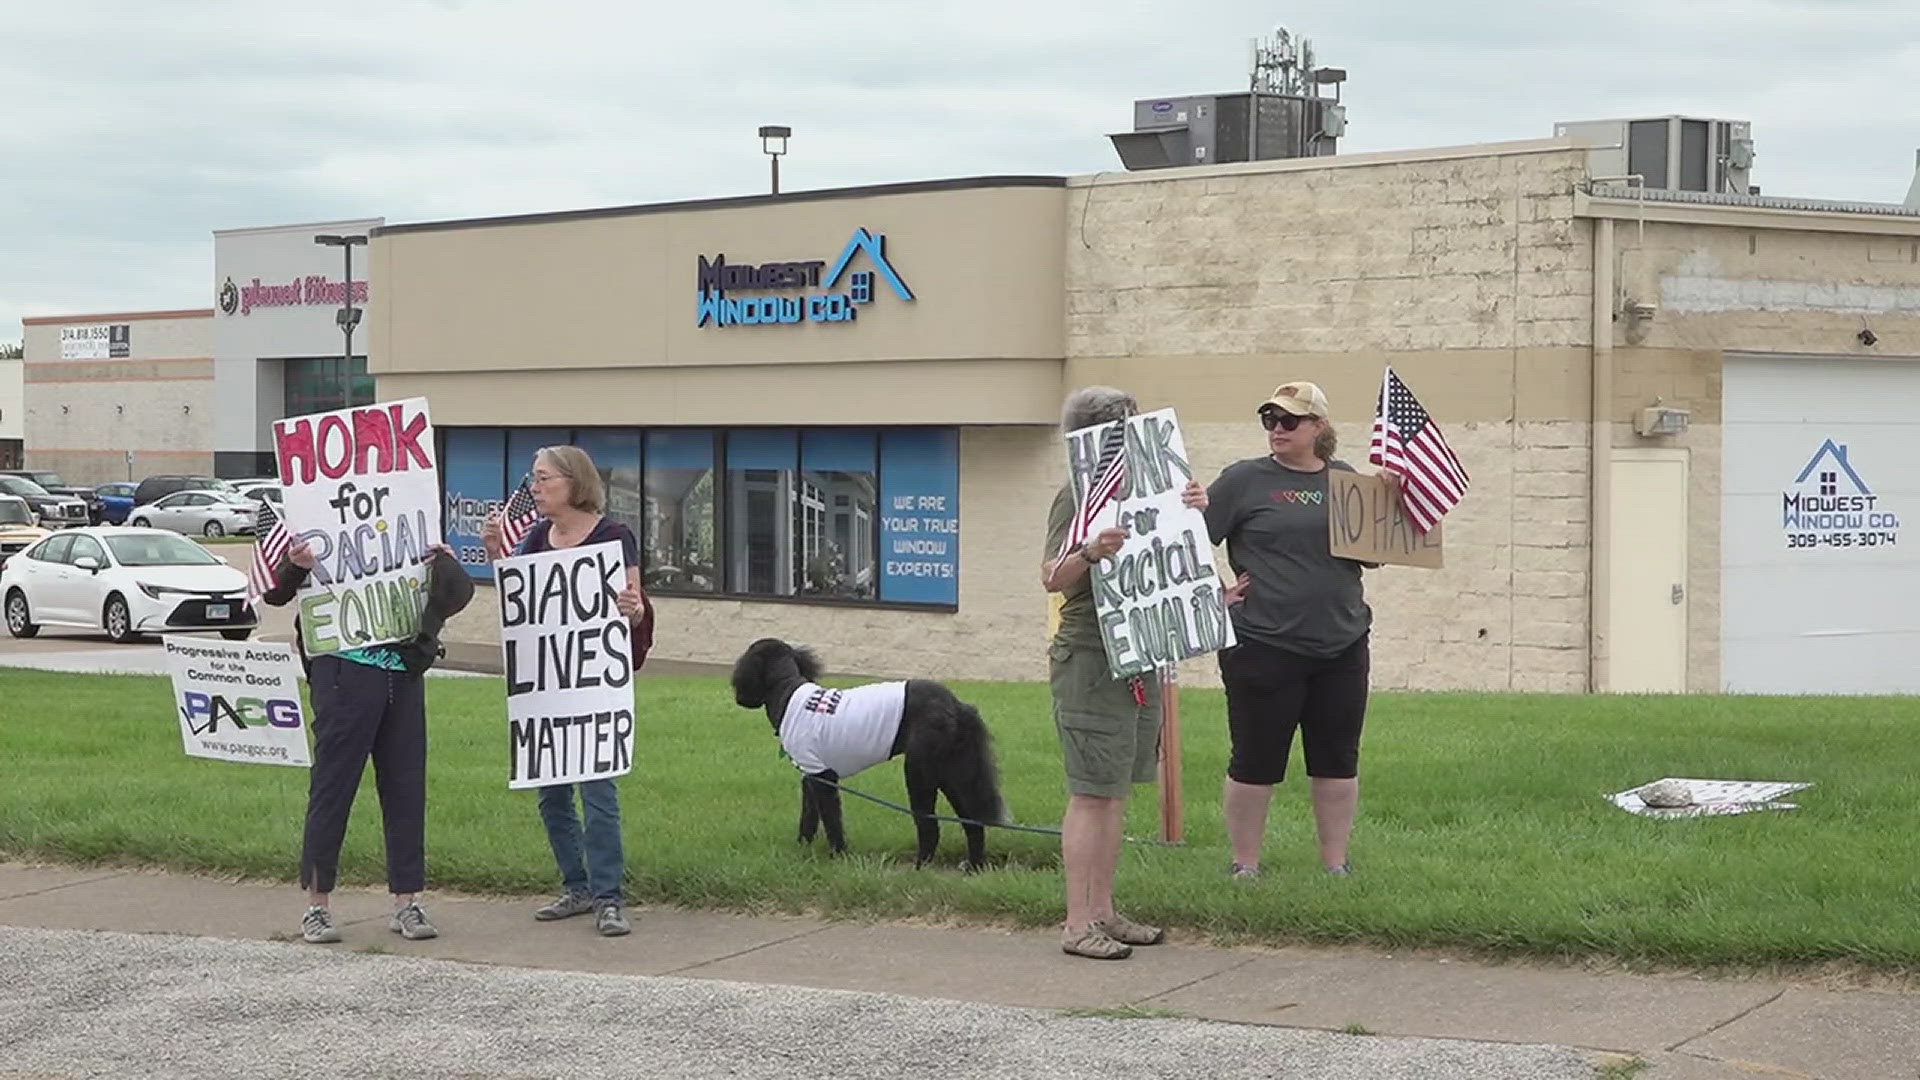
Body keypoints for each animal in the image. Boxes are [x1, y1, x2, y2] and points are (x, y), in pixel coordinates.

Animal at [729, 634, 1013, 868]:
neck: (786, 690)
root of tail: (957, 706)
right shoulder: (810, 775)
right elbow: (808, 817)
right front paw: (803, 848)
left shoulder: (823, 777)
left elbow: (832, 820)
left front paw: (838, 855)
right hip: (952, 772)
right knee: (971, 823)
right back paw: (974, 865)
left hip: (920, 772)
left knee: (929, 825)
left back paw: (920, 866)